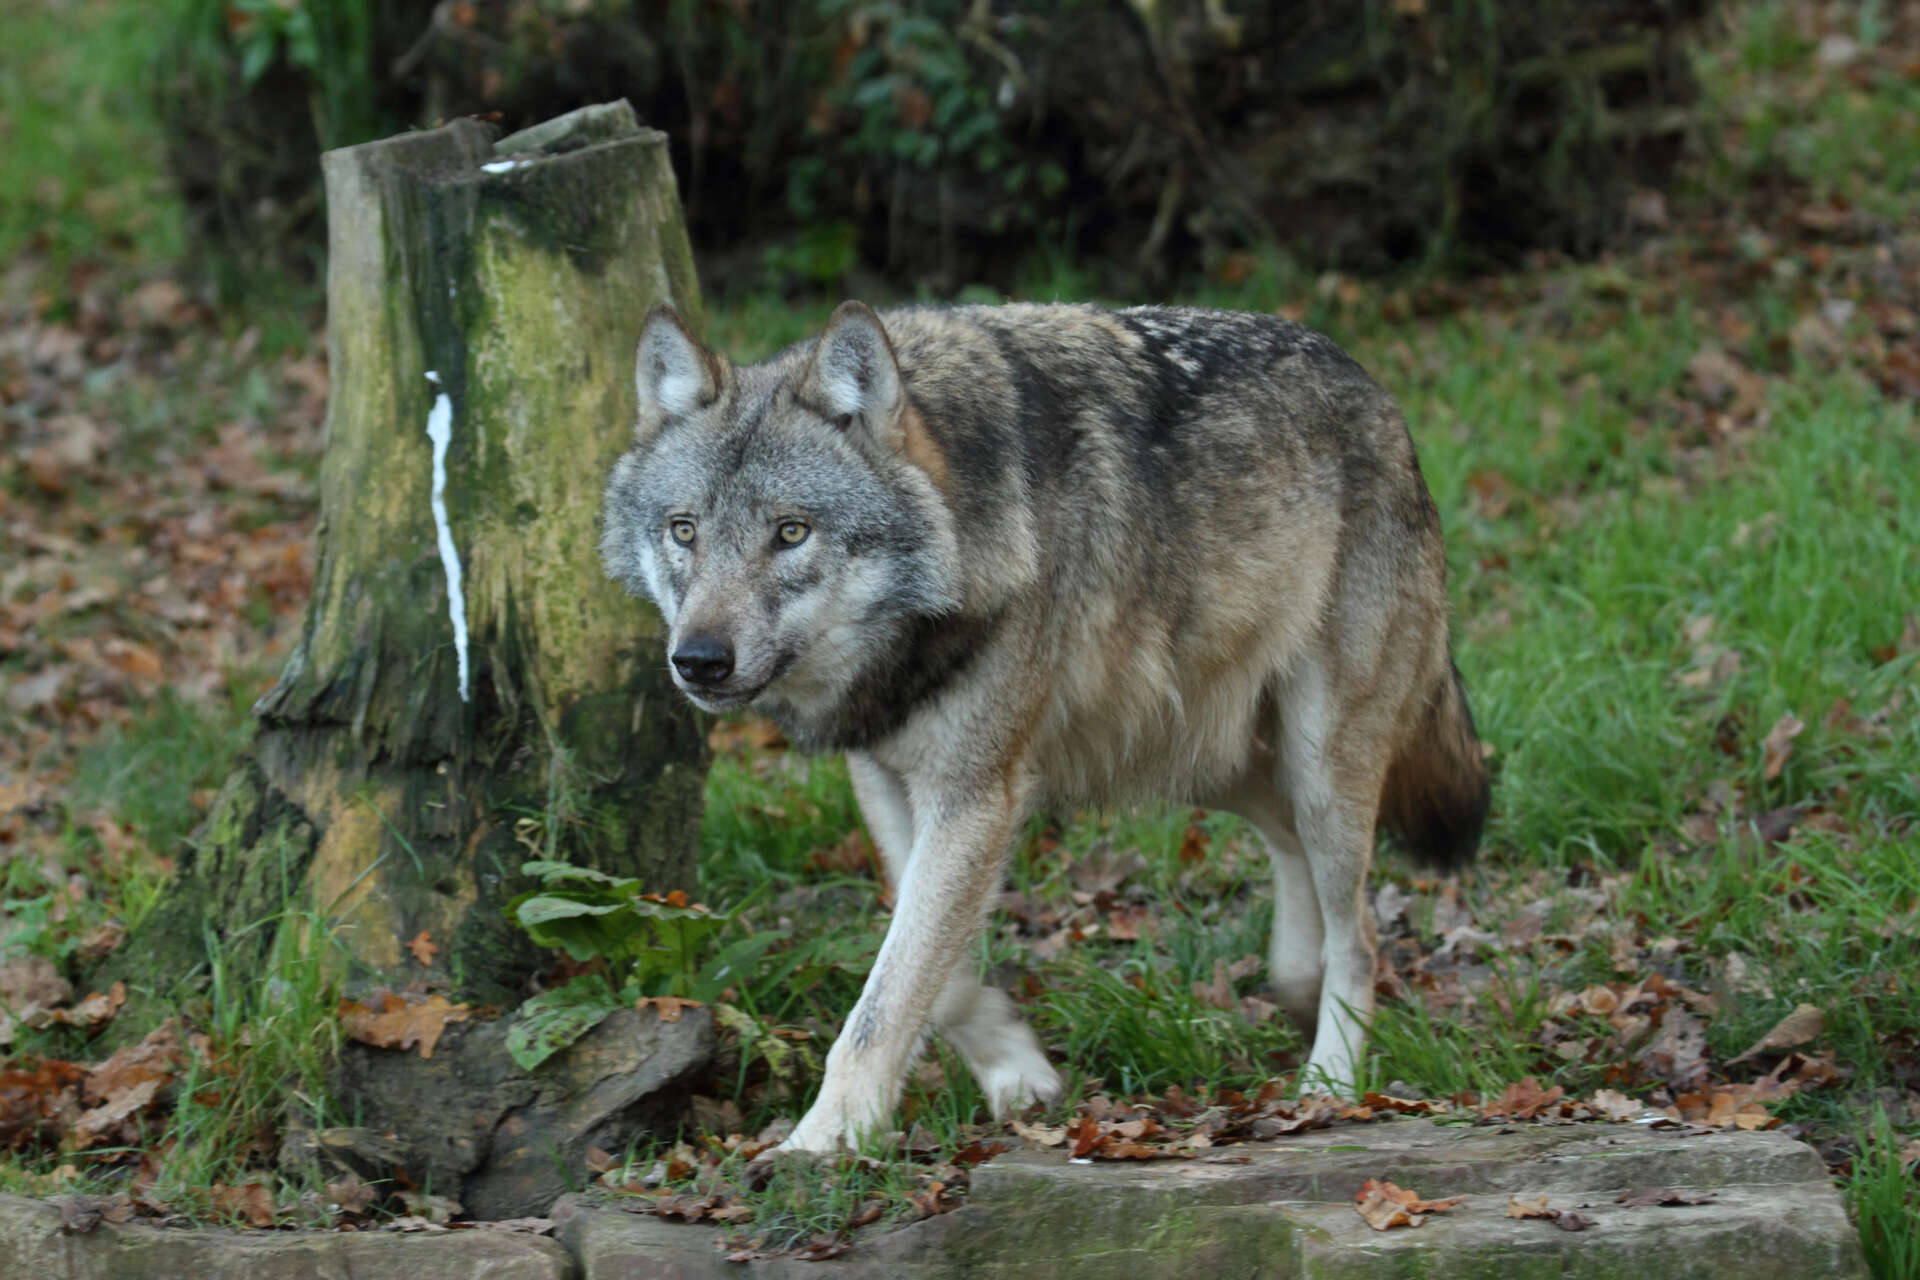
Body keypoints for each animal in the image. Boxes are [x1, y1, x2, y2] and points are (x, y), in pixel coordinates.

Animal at [599, 303, 1482, 1159]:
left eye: (790, 532)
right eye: (684, 531)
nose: (698, 659)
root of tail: (1376, 392)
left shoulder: (976, 795)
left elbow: (890, 993)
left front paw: (824, 1140)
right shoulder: (887, 778)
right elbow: (935, 971)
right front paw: (1017, 1072)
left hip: (1317, 759)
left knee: (1361, 934)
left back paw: (1329, 1082)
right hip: (1207, 760)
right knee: (1294, 857)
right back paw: (1295, 989)